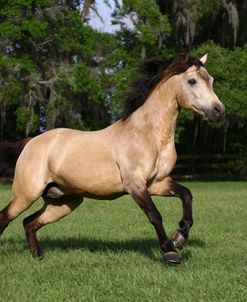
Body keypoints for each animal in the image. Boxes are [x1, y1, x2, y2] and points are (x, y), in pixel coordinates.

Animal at [0, 54, 225, 264]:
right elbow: (154, 215)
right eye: (192, 81)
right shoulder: (135, 185)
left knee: (29, 222)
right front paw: (170, 252)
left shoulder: (157, 183)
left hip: (63, 202)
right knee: (6, 217)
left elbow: (186, 195)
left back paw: (38, 256)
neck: (149, 135)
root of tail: (30, 142)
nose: (218, 110)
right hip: (26, 195)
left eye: (211, 80)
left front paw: (180, 237)